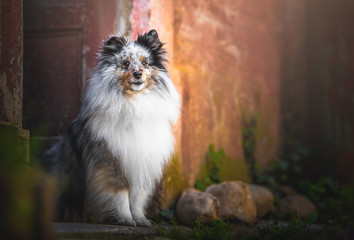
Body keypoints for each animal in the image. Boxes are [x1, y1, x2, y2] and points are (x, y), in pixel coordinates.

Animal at [44, 29, 181, 226]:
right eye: (125, 63)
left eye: (145, 62)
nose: (138, 74)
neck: (135, 104)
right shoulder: (112, 164)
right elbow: (120, 196)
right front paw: (126, 219)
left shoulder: (141, 164)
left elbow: (137, 198)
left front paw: (140, 220)